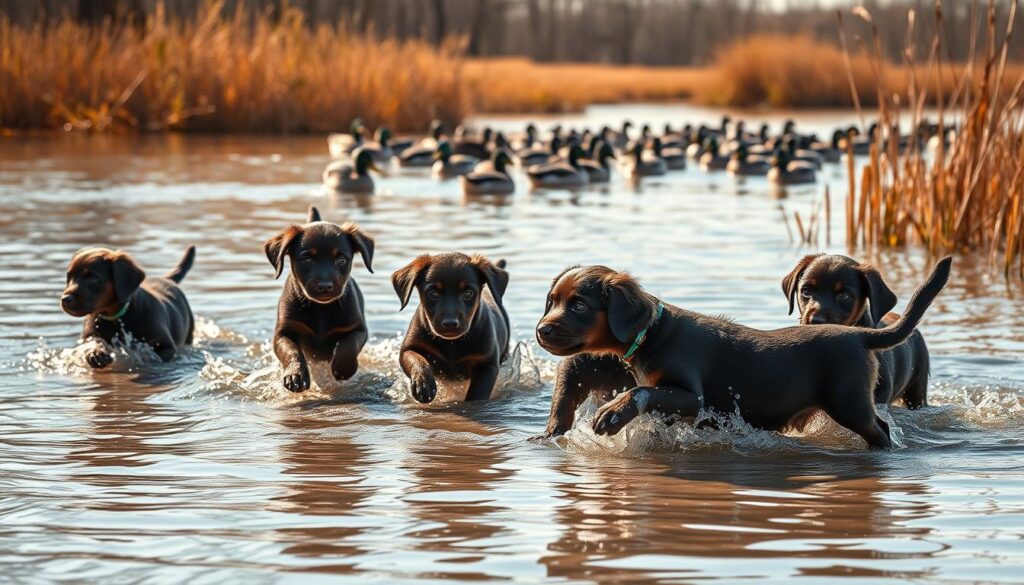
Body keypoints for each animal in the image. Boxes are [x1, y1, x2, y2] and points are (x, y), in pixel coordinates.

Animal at [60, 243, 196, 366]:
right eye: (69, 278)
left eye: (92, 278)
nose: (65, 299)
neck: (115, 317)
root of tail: (167, 279)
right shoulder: (88, 335)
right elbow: (94, 341)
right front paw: (97, 353)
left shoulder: (166, 346)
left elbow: (152, 358)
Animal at [264, 205, 376, 393]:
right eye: (307, 259)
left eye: (341, 259)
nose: (325, 286)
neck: (320, 308)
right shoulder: (283, 332)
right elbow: (291, 351)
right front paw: (296, 374)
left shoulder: (358, 328)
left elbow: (349, 345)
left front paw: (343, 368)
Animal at [391, 252, 507, 403]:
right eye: (433, 294)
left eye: (468, 293)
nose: (450, 323)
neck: (452, 343)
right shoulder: (408, 348)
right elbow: (417, 360)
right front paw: (423, 383)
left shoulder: (488, 363)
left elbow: (478, 392)